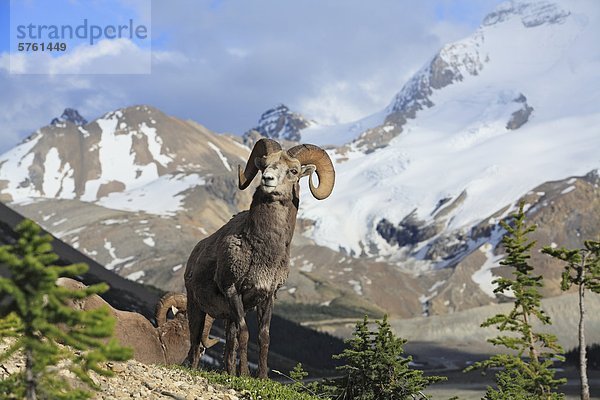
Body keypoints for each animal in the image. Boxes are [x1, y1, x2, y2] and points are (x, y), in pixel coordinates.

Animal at [184, 140, 332, 378]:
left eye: (293, 171)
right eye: (264, 165)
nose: (267, 180)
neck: (263, 253)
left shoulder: (267, 296)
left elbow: (264, 336)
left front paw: (261, 376)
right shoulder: (233, 290)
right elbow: (245, 333)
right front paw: (245, 374)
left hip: (226, 316)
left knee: (229, 345)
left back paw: (229, 373)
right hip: (197, 308)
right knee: (196, 344)